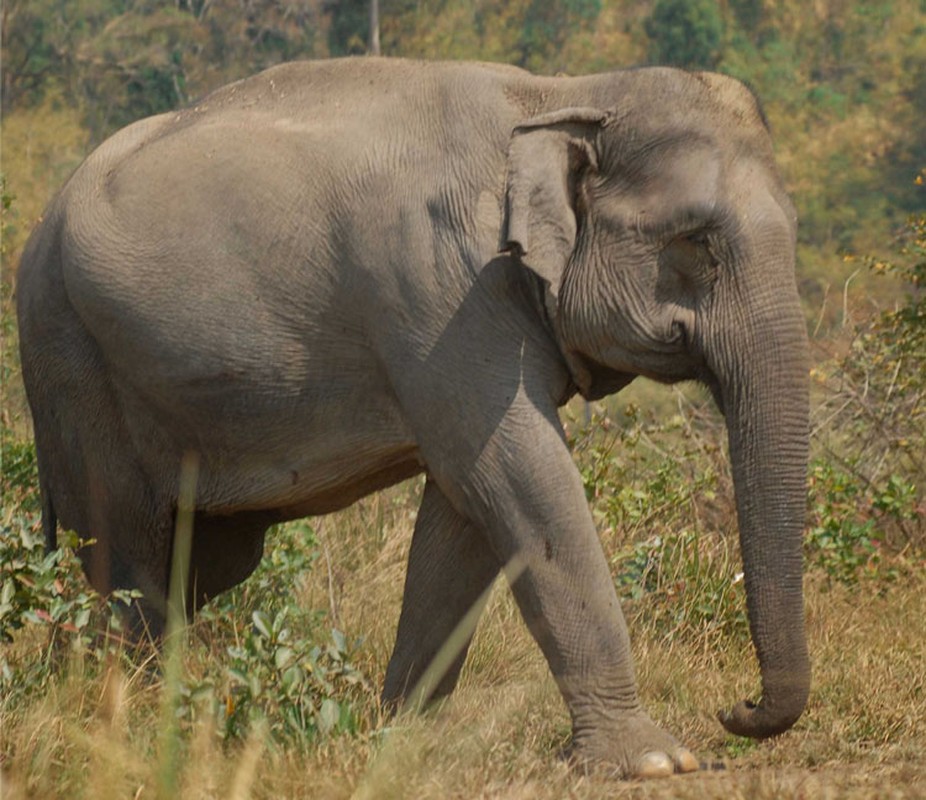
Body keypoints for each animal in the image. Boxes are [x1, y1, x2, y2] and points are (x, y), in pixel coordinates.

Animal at [14, 57, 812, 780]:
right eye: (695, 242)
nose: (736, 709)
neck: (562, 95)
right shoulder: (444, 290)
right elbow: (520, 479)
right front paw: (653, 762)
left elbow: (469, 514)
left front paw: (404, 741)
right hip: (71, 357)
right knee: (125, 555)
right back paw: (123, 718)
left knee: (200, 563)